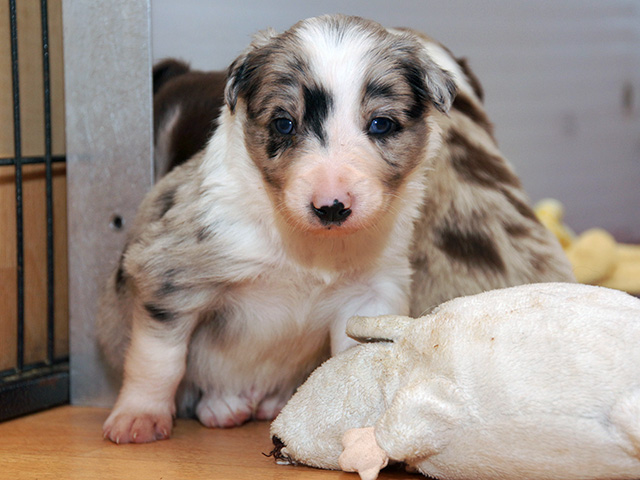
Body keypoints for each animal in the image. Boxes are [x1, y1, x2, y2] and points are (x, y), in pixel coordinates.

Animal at [97, 14, 574, 444]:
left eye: (381, 124)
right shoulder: (171, 278)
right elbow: (160, 360)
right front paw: (139, 418)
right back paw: (223, 406)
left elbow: (354, 363)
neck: (308, 250)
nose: (331, 206)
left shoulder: (368, 295)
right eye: (283, 123)